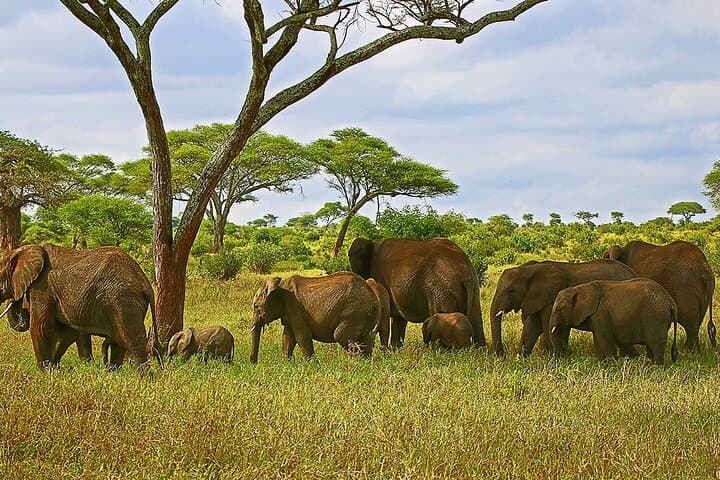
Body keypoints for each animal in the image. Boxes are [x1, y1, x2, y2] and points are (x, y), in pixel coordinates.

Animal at [0, 244, 157, 370]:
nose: (18, 300)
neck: (23, 250)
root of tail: (145, 282)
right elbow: (68, 333)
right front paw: (58, 369)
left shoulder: (42, 288)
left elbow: (40, 327)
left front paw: (45, 372)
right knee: (119, 342)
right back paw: (113, 372)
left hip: (124, 300)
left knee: (132, 340)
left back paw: (143, 378)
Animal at [348, 237, 485, 349]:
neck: (373, 242)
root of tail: (465, 274)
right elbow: (398, 320)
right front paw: (395, 350)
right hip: (473, 289)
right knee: (476, 319)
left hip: (442, 290)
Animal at [490, 259, 637, 357]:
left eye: (510, 290)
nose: (502, 356)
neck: (528, 270)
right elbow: (532, 326)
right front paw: (523, 358)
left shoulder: (551, 297)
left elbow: (545, 326)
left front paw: (554, 357)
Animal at [548, 278, 678, 364]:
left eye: (558, 309)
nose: (556, 361)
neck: (581, 288)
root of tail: (671, 301)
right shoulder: (597, 317)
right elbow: (597, 340)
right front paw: (602, 364)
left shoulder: (601, 313)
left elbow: (604, 339)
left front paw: (612, 365)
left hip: (655, 317)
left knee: (656, 344)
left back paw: (655, 367)